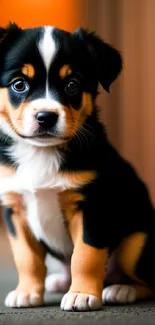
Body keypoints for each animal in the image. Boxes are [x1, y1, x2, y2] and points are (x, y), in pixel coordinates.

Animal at [0, 22, 155, 312]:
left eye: (72, 85)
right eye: (19, 84)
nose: (46, 117)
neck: (41, 152)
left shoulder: (92, 205)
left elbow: (85, 255)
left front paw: (82, 294)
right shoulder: (14, 209)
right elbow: (26, 257)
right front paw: (27, 292)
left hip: (137, 243)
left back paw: (121, 289)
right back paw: (61, 281)